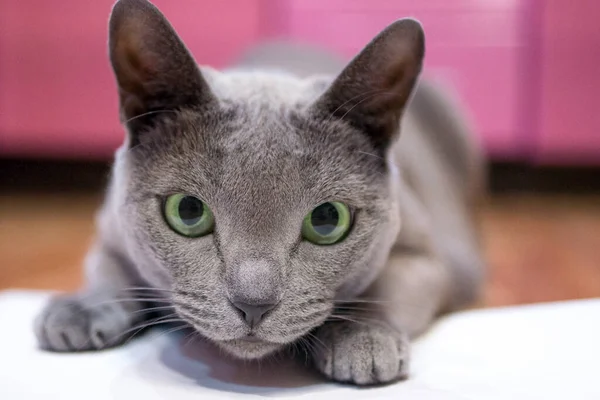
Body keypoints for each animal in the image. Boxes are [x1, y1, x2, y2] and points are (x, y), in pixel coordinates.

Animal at [32, 0, 486, 386]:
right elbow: (107, 267)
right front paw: (80, 309)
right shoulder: (111, 226)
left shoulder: (438, 257)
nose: (254, 304)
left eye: (327, 220)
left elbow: (390, 284)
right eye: (188, 211)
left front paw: (363, 340)